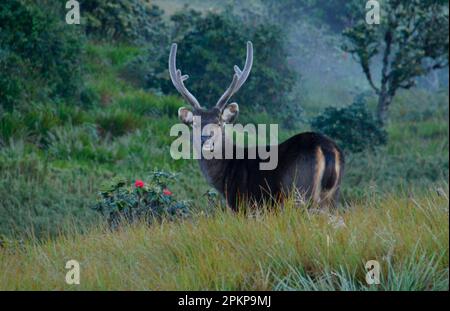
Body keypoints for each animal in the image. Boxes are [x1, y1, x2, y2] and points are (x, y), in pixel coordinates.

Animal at [169, 41, 344, 211]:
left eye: (219, 122)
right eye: (195, 123)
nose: (205, 137)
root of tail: (327, 149)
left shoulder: (244, 205)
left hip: (300, 191)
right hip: (331, 197)